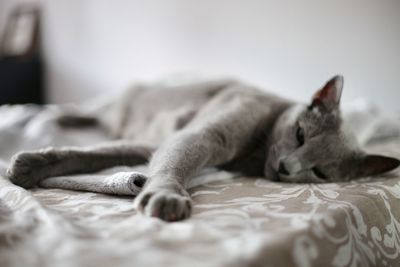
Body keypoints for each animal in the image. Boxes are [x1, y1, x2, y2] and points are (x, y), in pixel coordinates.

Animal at [7, 75, 400, 222]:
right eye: (300, 134)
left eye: (319, 172)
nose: (287, 167)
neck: (254, 155)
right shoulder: (207, 135)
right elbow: (97, 153)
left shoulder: (151, 143)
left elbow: (103, 153)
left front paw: (29, 166)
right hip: (120, 103)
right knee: (95, 113)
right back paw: (64, 115)